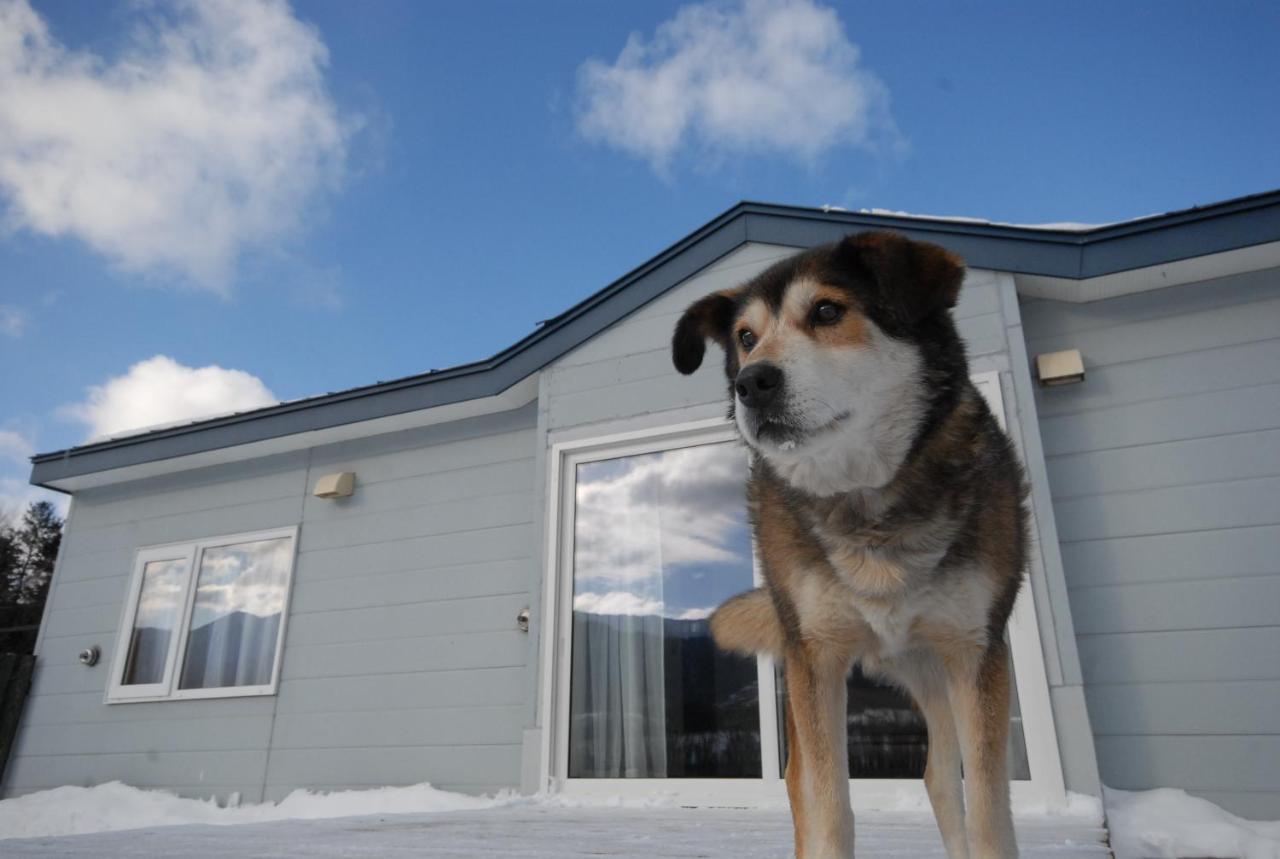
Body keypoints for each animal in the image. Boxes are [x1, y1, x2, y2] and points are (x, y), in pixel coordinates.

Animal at [675, 231, 1024, 855]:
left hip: (933, 667)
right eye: (746, 337)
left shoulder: (974, 649)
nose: (752, 383)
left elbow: (988, 814)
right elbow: (828, 805)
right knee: (804, 780)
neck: (865, 499)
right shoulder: (816, 653)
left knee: (941, 776)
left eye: (827, 311)